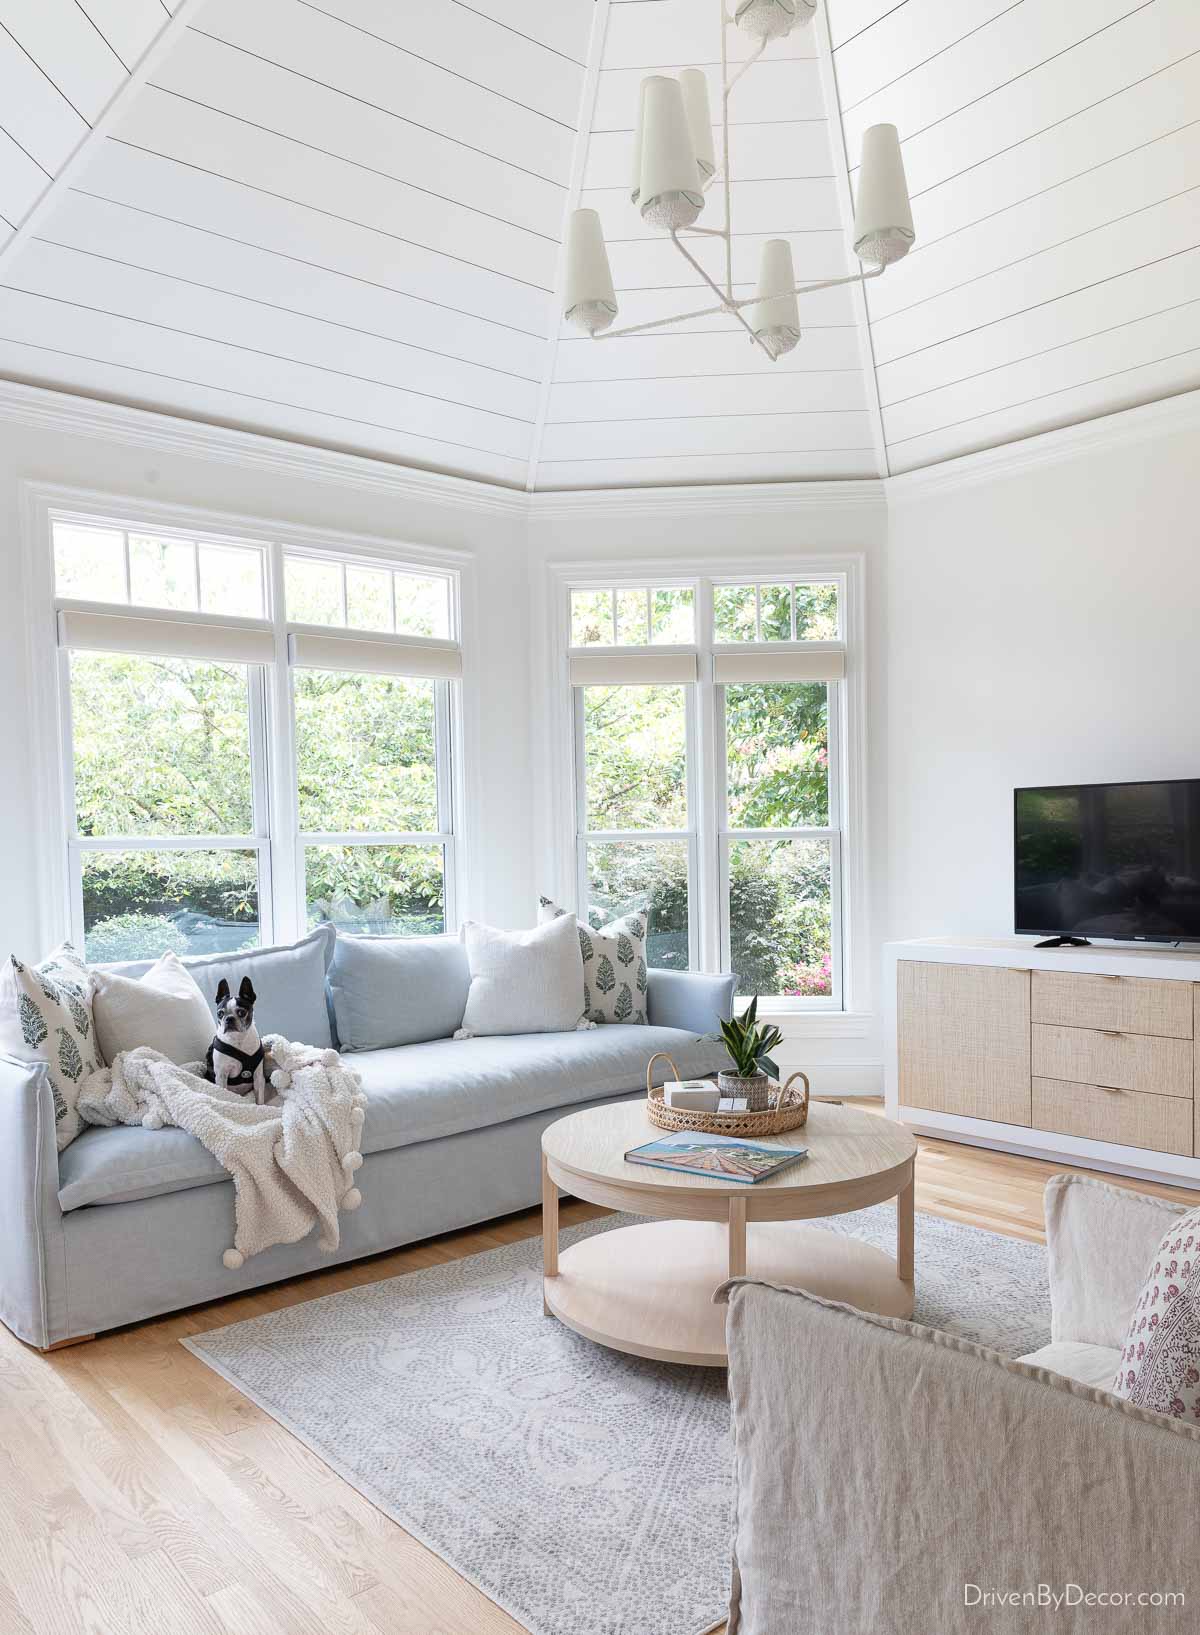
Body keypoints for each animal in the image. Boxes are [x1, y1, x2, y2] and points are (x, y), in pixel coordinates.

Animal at [206, 974, 268, 1105]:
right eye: (220, 1014)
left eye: (241, 1012)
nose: (229, 1018)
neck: (237, 1039)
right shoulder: (221, 1075)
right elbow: (224, 1093)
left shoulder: (258, 1077)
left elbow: (260, 1098)